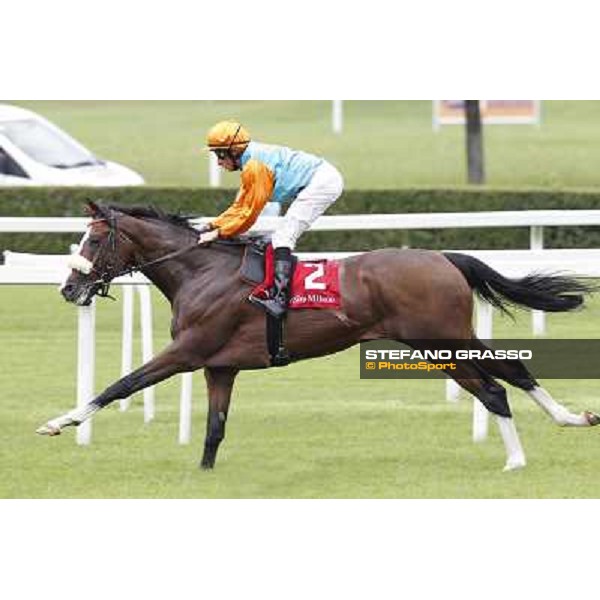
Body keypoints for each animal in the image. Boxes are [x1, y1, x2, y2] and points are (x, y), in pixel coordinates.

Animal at [36, 204, 600, 472]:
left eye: (95, 239)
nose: (68, 288)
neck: (201, 272)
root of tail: (444, 257)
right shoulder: (221, 365)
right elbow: (215, 428)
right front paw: (203, 475)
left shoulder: (188, 351)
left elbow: (120, 385)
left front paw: (58, 422)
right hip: (446, 339)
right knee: (513, 373)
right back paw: (573, 419)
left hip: (441, 341)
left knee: (495, 388)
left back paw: (517, 458)